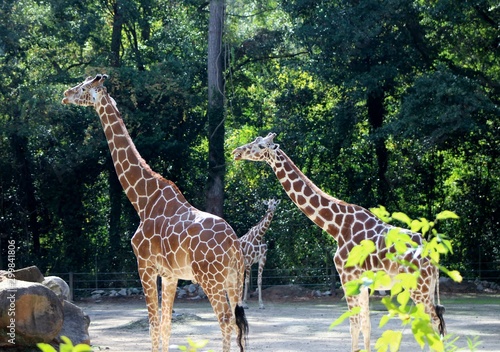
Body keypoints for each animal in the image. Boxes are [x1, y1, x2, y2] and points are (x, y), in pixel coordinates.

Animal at [62, 75, 248, 352]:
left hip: (211, 278)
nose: (66, 94)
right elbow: (166, 325)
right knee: (239, 324)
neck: (142, 200)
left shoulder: (145, 266)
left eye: (84, 88)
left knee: (225, 320)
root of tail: (234, 244)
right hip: (234, 278)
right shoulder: (170, 275)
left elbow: (152, 325)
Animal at [232, 133, 448, 352]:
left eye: (260, 146)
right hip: (427, 286)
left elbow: (354, 324)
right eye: (254, 140)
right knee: (436, 322)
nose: (236, 152)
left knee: (433, 321)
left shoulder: (347, 276)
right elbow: (366, 325)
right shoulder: (362, 282)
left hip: (419, 286)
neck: (336, 226)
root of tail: (434, 256)